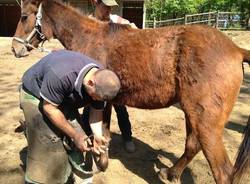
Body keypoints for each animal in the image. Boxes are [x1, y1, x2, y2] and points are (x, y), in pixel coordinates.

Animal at [11, 0, 250, 184]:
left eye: (24, 16)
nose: (15, 48)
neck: (89, 36)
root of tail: (236, 50)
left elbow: (99, 128)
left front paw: (100, 160)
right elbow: (101, 128)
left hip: (205, 122)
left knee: (222, 172)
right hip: (192, 114)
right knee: (192, 146)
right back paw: (170, 173)